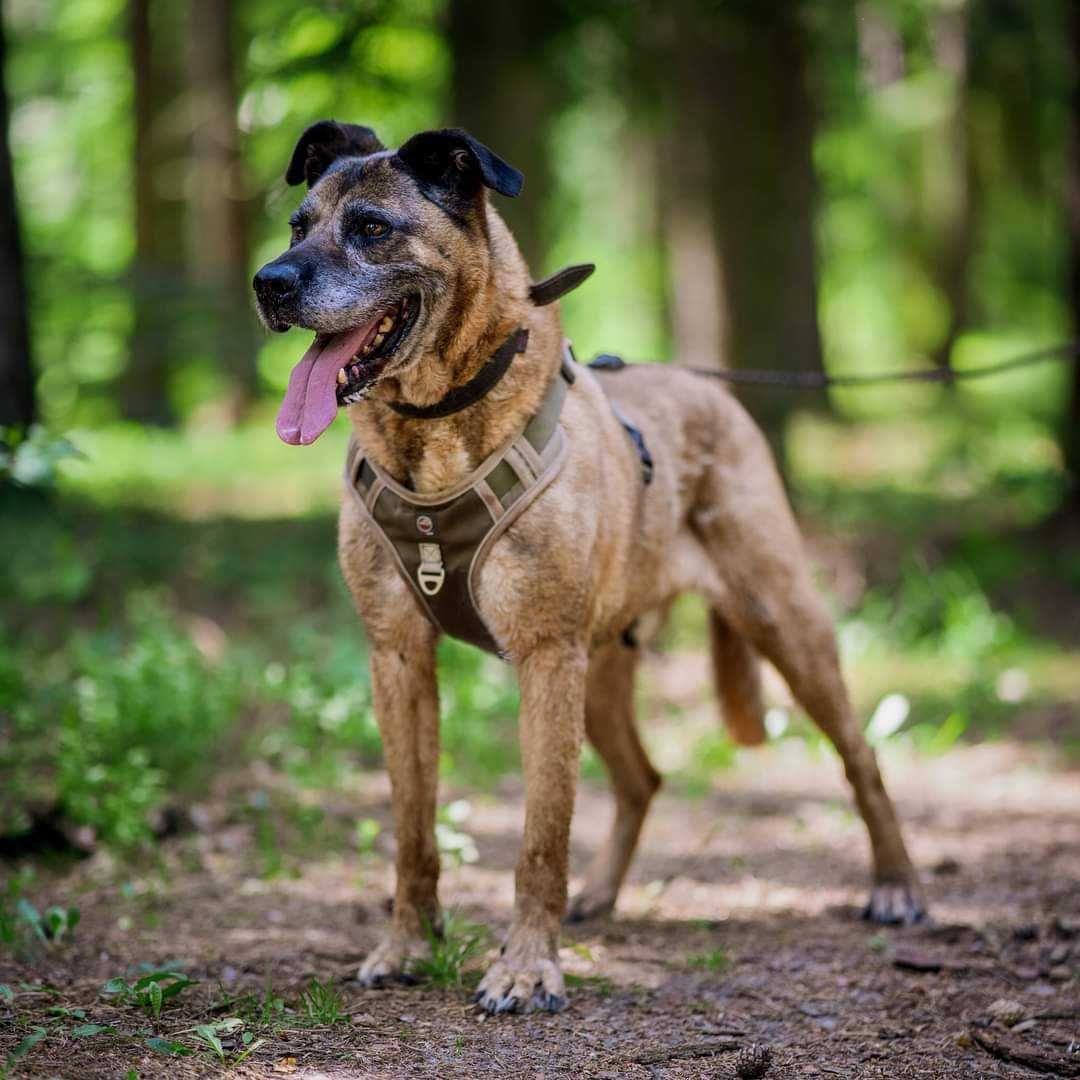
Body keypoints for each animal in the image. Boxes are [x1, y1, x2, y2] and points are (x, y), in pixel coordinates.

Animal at [250, 122, 920, 1015]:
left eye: (370, 228)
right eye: (297, 224)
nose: (269, 282)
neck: (435, 426)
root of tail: (712, 389)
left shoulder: (545, 657)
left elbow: (541, 835)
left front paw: (528, 965)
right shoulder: (397, 658)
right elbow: (413, 829)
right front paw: (407, 944)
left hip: (780, 621)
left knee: (862, 757)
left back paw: (897, 886)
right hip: (601, 670)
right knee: (641, 779)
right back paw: (599, 894)